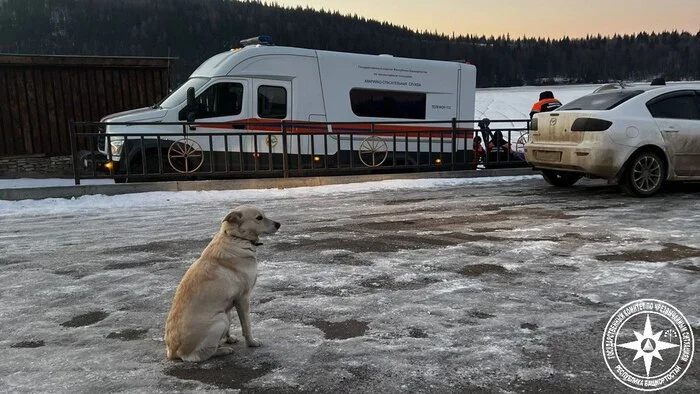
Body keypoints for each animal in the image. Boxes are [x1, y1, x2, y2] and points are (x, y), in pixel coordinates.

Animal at [165, 206, 280, 364]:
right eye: (259, 218)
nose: (278, 224)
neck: (236, 238)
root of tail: (173, 352)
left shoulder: (229, 303)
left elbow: (231, 326)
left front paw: (229, 338)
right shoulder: (243, 298)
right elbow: (247, 325)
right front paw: (251, 342)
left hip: (223, 316)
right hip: (220, 320)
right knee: (198, 356)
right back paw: (223, 351)